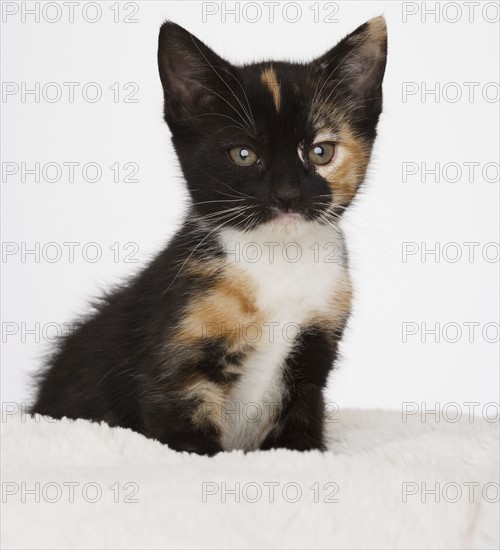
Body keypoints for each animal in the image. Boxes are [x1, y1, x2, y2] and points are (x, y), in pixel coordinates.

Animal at [31, 17, 388, 458]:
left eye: (321, 152)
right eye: (243, 155)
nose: (287, 195)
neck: (278, 260)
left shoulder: (313, 354)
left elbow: (301, 429)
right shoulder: (177, 361)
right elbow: (189, 437)